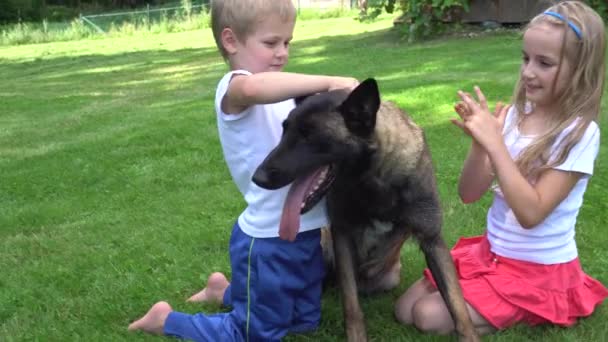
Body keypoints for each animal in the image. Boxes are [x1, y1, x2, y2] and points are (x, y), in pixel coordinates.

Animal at [252, 79, 480, 340]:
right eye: (285, 130)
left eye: (309, 135)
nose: (257, 178)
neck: (374, 179)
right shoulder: (342, 237)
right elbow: (352, 307)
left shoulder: (432, 241)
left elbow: (457, 305)